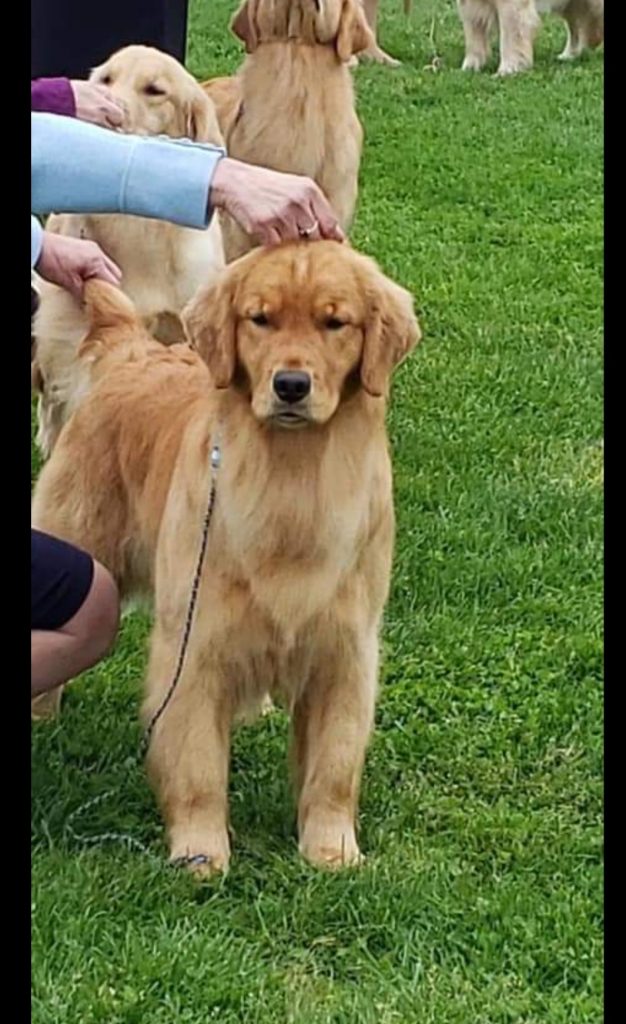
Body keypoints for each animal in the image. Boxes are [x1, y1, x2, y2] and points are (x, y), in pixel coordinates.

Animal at [31, 241, 420, 873]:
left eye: (335, 323)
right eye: (260, 319)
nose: (291, 385)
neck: (293, 478)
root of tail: (134, 349)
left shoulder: (346, 649)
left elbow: (334, 766)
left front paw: (332, 848)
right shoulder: (196, 644)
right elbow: (197, 763)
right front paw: (200, 851)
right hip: (82, 545)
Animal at [457, 0, 604, 74]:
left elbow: (510, 38)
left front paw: (508, 69)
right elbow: (473, 37)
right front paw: (470, 67)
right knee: (576, 28)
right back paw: (569, 55)